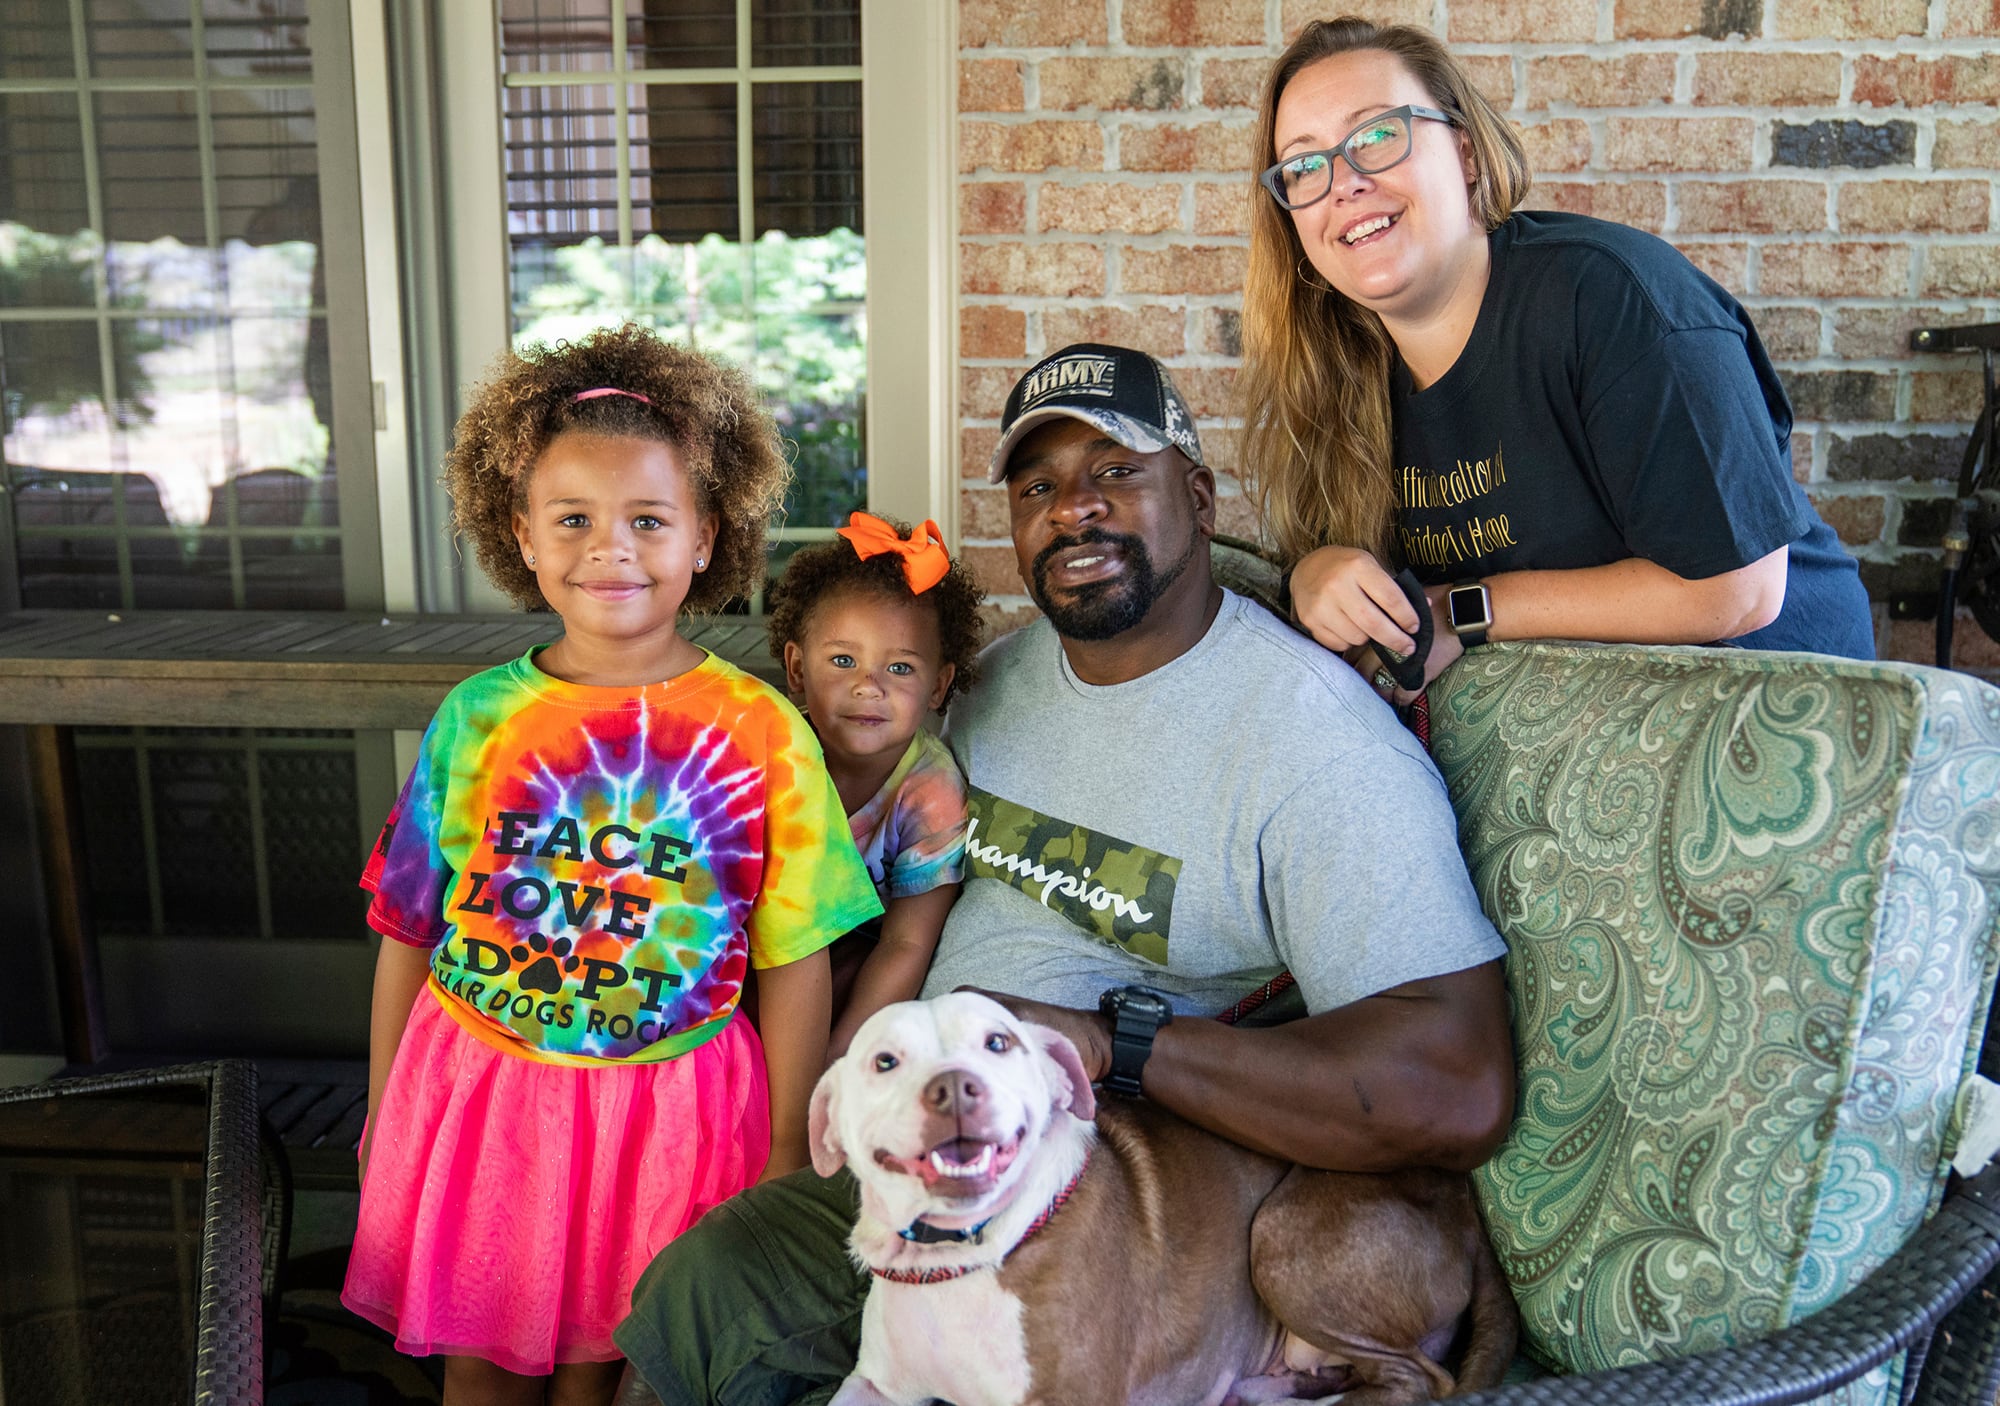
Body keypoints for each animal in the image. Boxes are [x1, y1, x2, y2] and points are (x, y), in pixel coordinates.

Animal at [804, 992, 1504, 1406]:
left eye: (999, 1042)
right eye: (885, 1062)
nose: (954, 1088)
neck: (961, 1255)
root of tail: (1463, 1200)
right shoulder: (878, 1386)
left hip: (1284, 1244)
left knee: (1421, 1379)